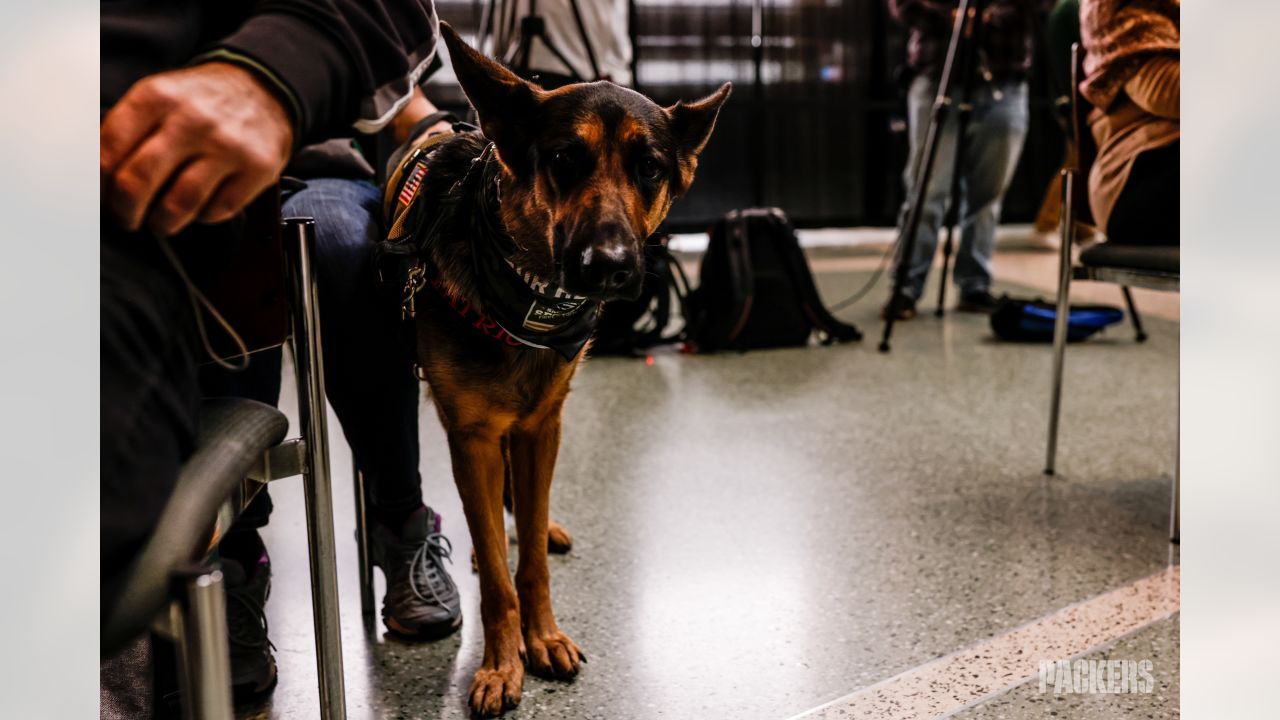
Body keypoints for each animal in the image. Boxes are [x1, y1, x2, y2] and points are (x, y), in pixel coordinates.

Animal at [396, 25, 732, 712]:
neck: (525, 297)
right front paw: (502, 663)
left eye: (650, 168)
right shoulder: (471, 437)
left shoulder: (541, 427)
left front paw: (542, 635)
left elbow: (530, 564)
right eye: (563, 160)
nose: (610, 265)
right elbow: (499, 580)